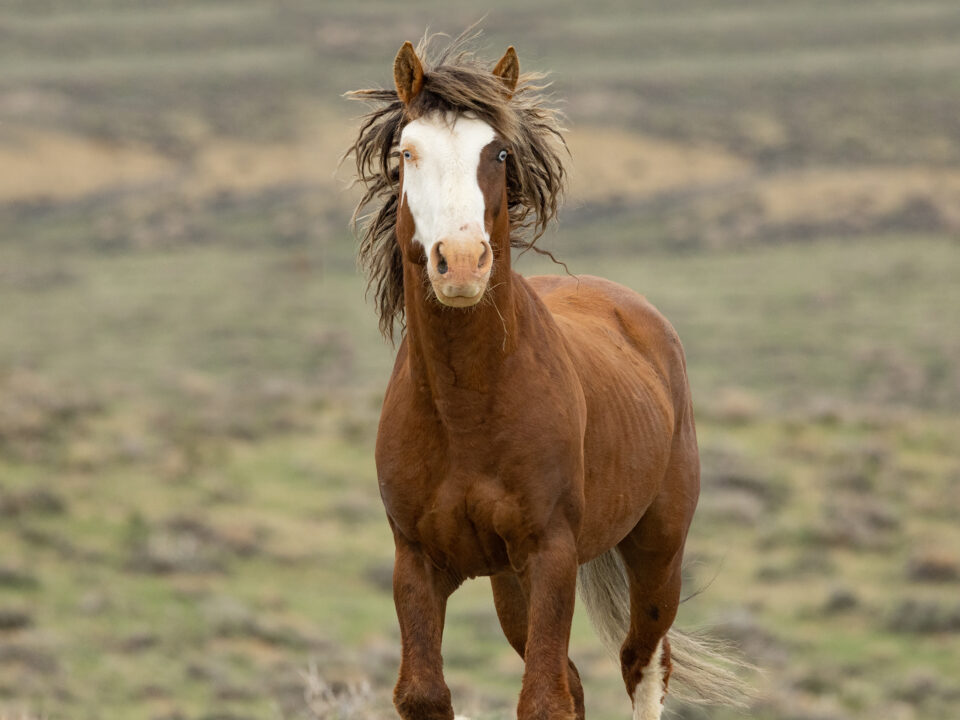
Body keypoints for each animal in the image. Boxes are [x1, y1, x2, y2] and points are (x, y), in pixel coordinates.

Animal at [344, 32, 752, 720]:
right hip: (510, 583)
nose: (461, 263)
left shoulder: (550, 554)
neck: (467, 409)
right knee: (579, 678)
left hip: (657, 551)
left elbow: (543, 699)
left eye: (500, 151)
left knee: (643, 662)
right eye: (407, 152)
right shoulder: (418, 561)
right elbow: (426, 692)